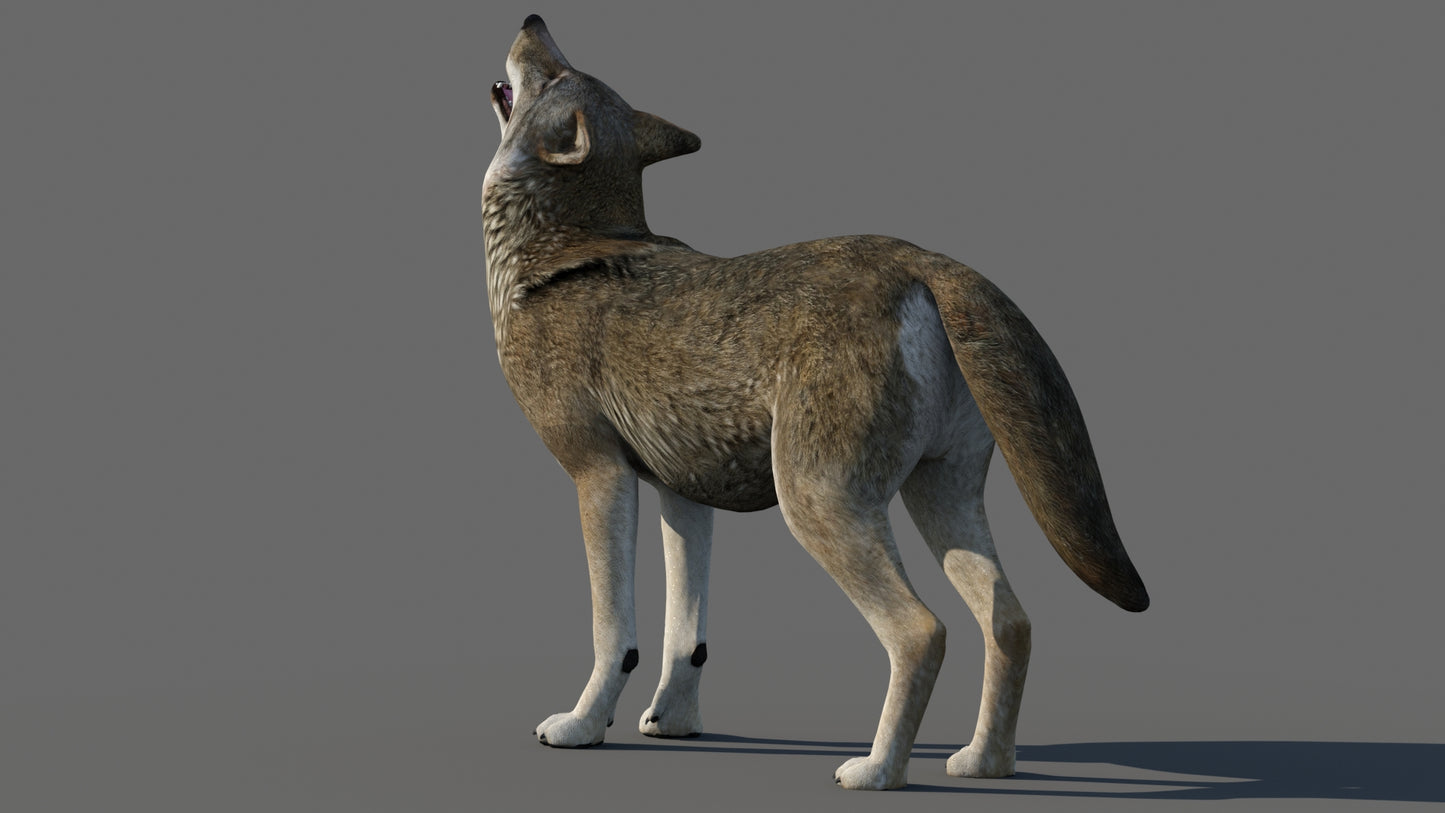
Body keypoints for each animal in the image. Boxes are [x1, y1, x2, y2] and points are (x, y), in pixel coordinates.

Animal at [482, 15, 1149, 790]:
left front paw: (582, 727)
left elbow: (613, 633)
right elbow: (686, 638)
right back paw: (984, 763)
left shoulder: (598, 476)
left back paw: (877, 770)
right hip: (934, 499)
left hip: (817, 503)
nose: (532, 20)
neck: (555, 250)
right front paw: (675, 724)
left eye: (554, 73)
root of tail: (926, 261)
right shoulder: (685, 494)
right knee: (1009, 622)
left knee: (922, 631)